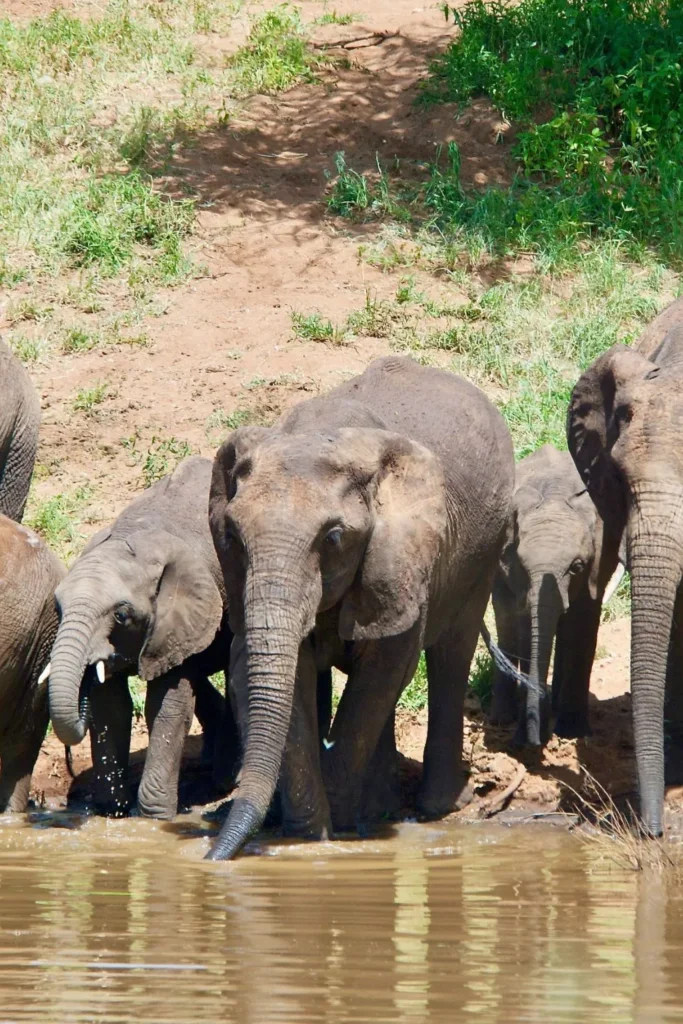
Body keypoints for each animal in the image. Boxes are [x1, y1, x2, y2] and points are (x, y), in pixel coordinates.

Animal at [47, 456, 240, 820]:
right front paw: (113, 813)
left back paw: (225, 778)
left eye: (121, 615)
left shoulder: (178, 618)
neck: (134, 540)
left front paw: (153, 818)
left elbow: (166, 705)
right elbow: (111, 708)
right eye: (57, 609)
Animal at [206, 355, 514, 860]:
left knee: (451, 653)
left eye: (333, 537)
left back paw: (434, 806)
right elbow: (288, 675)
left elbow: (385, 668)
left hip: (485, 550)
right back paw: (380, 805)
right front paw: (310, 836)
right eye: (232, 535)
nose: (212, 859)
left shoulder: (403, 552)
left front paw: (340, 832)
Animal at [488, 443, 620, 747]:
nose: (535, 742)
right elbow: (525, 627)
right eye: (522, 565)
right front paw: (524, 738)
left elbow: (583, 625)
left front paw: (572, 732)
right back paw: (501, 718)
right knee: (506, 623)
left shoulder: (598, 563)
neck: (555, 494)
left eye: (577, 567)